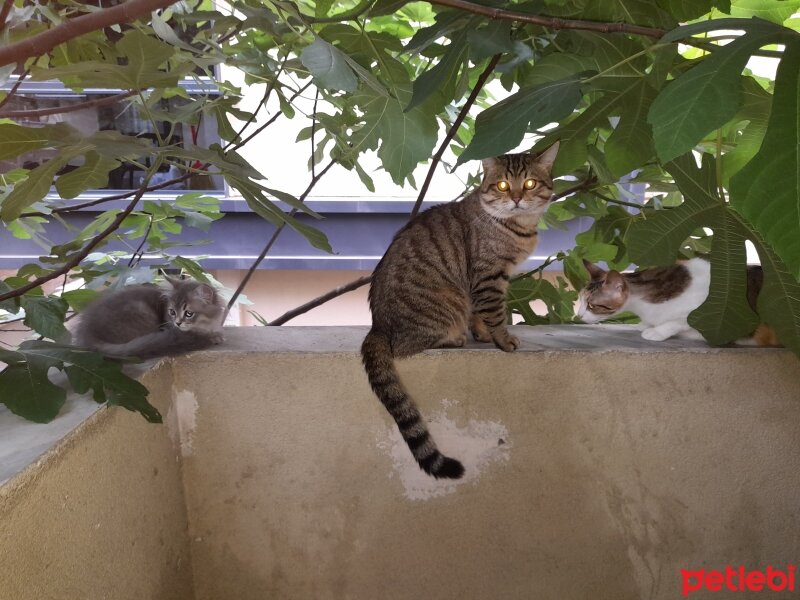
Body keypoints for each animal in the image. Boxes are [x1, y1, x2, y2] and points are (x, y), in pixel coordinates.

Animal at [360, 142, 556, 478]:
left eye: (529, 183)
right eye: (503, 185)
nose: (517, 198)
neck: (517, 227)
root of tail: (378, 326)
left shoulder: (488, 282)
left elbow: (481, 315)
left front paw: (483, 334)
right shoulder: (489, 278)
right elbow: (495, 314)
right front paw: (503, 340)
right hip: (447, 302)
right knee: (406, 346)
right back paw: (454, 338)